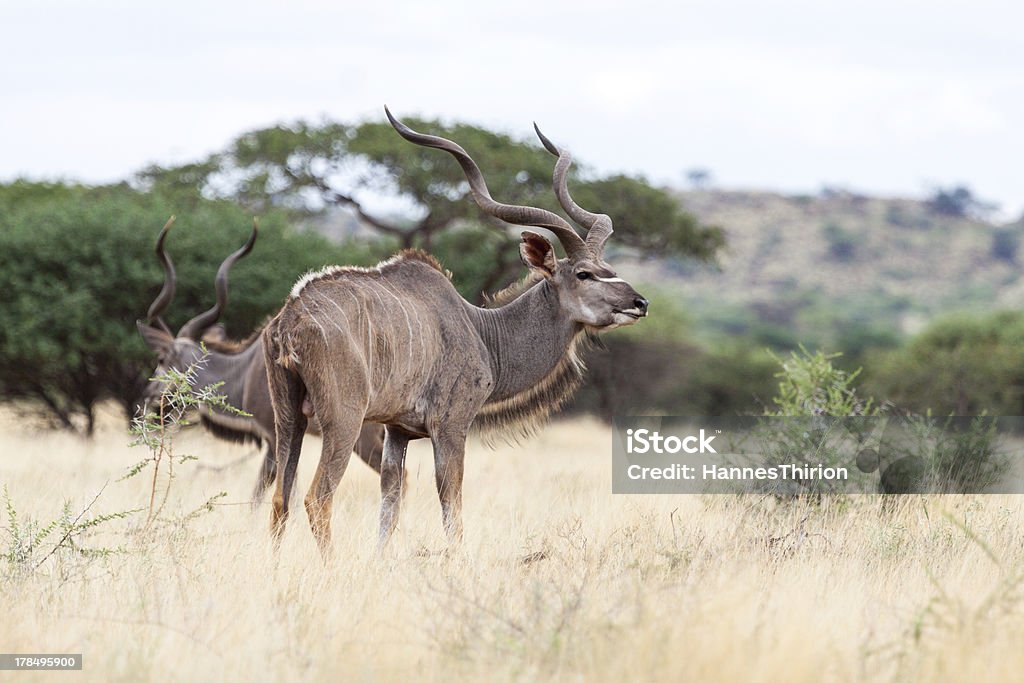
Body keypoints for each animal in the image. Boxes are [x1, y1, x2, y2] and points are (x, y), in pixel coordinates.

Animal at [138, 219, 385, 501]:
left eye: (161, 358)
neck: (244, 371)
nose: (149, 395)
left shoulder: (275, 436)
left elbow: (270, 493)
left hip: (362, 438)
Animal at [264, 108, 647, 557]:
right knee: (316, 497)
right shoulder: (450, 425)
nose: (639, 302)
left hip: (288, 418)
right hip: (343, 419)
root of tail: (290, 320)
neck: (482, 330)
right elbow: (452, 505)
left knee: (280, 498)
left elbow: (390, 506)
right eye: (585, 274)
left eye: (609, 270)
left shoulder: (398, 431)